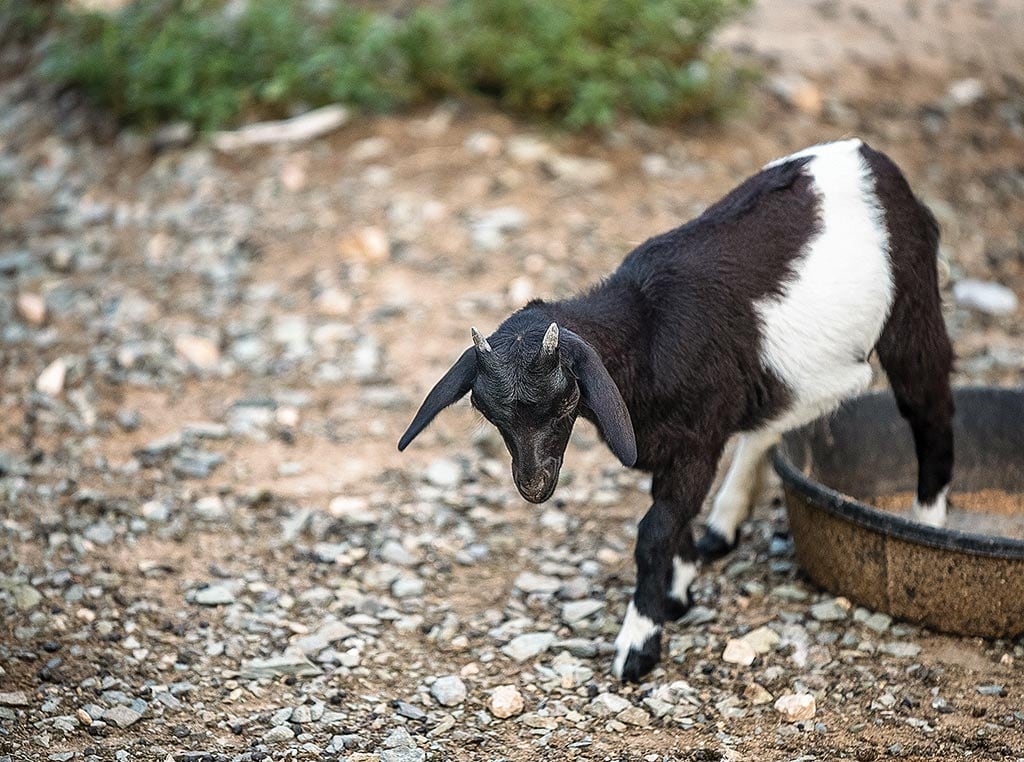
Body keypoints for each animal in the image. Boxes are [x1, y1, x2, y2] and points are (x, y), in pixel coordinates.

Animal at [397, 140, 950, 680]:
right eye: (487, 411)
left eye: (567, 399)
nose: (534, 486)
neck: (646, 328)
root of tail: (870, 156)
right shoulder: (669, 444)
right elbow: (673, 514)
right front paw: (678, 588)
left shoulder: (696, 441)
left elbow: (654, 531)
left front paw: (639, 642)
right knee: (772, 418)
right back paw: (725, 523)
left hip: (912, 303)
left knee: (929, 407)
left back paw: (928, 525)